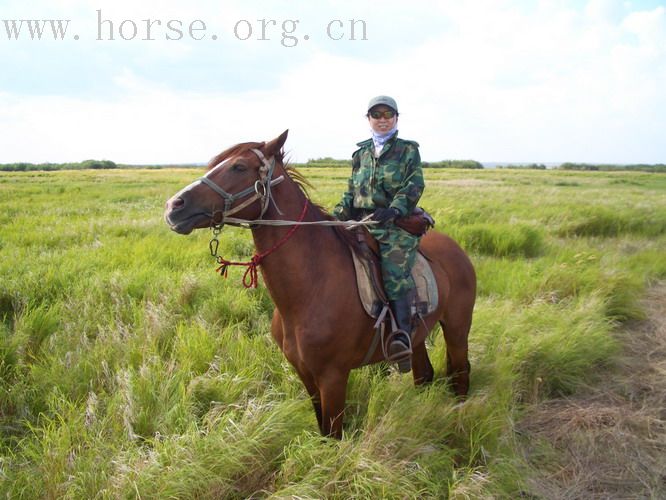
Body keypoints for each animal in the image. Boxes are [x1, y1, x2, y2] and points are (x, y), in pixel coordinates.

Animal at [166, 130, 478, 438]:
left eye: (239, 167)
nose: (173, 207)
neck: (310, 288)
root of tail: (457, 250)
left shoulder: (333, 377)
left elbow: (333, 433)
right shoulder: (306, 375)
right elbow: (322, 429)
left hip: (457, 328)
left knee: (461, 374)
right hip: (418, 336)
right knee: (424, 374)